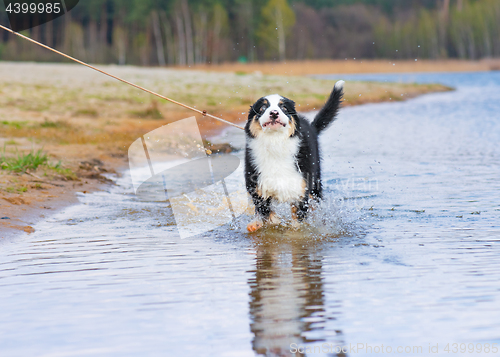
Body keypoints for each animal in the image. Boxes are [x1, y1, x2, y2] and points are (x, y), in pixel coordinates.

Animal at [245, 80, 344, 231]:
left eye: (284, 107)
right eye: (262, 108)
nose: (274, 113)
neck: (275, 144)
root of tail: (311, 126)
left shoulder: (301, 190)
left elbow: (298, 223)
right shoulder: (255, 186)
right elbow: (265, 211)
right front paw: (266, 223)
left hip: (316, 182)